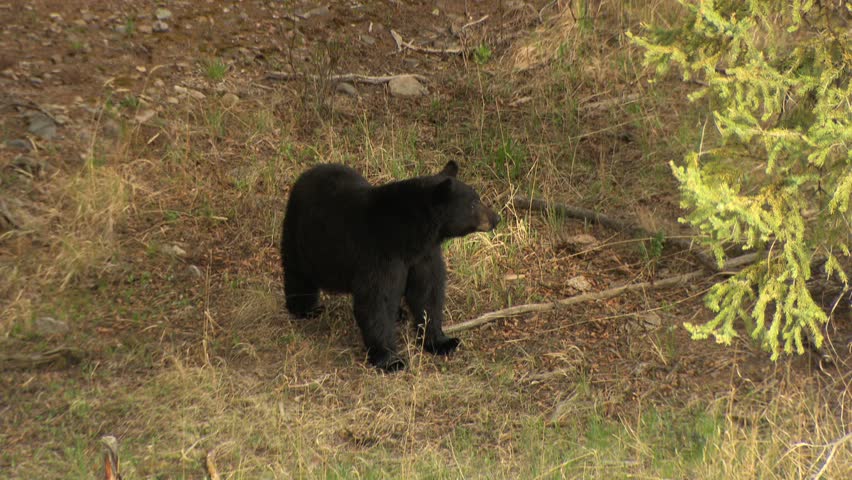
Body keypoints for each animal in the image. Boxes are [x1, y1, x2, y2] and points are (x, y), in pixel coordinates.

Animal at [281, 161, 500, 372]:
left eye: (476, 198)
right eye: (473, 203)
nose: (496, 218)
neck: (410, 235)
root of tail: (308, 173)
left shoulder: (423, 257)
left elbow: (428, 292)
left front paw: (442, 342)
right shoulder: (379, 255)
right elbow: (378, 301)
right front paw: (391, 360)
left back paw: (399, 314)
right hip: (303, 235)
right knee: (297, 272)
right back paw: (305, 308)